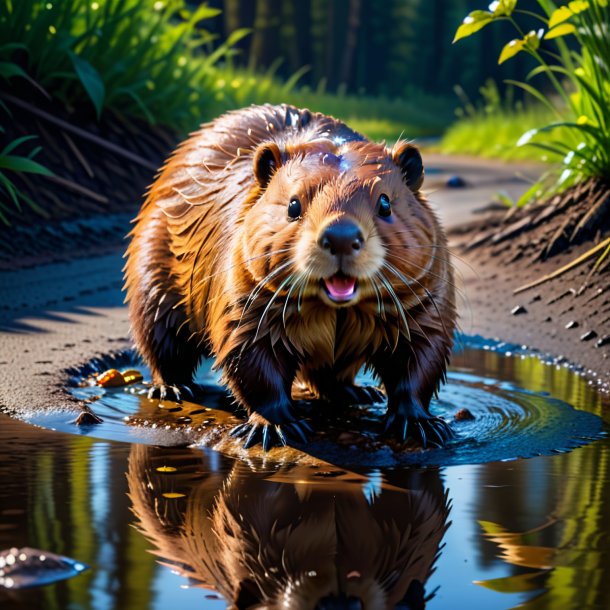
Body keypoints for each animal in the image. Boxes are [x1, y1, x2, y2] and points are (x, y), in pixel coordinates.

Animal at [123, 103, 454, 446]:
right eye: (293, 205)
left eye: (385, 203)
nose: (341, 237)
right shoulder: (243, 297)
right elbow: (250, 357)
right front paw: (276, 426)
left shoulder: (426, 298)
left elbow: (421, 354)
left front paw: (420, 423)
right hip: (152, 271)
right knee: (160, 338)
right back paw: (173, 388)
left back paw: (360, 392)